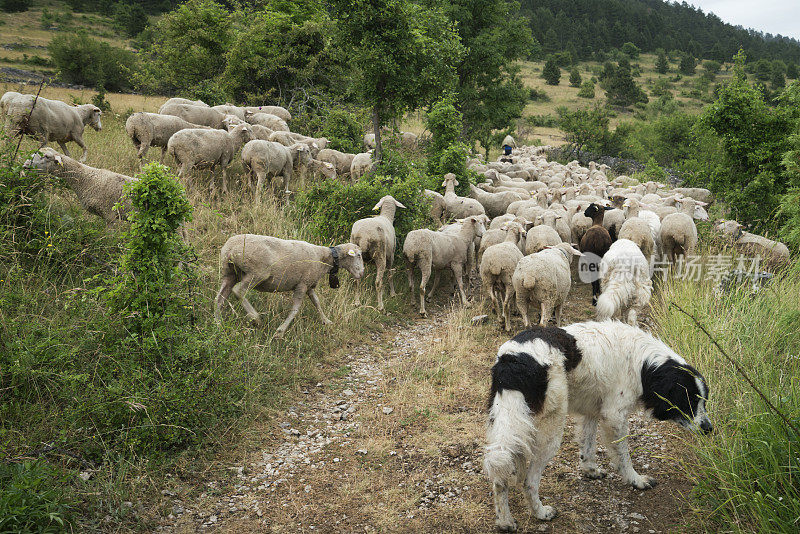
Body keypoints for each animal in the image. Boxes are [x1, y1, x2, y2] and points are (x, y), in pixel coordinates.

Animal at [212, 236, 362, 340]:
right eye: (359, 255)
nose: (361, 273)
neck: (325, 258)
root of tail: (230, 249)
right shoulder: (302, 285)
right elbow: (295, 309)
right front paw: (280, 331)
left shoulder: (308, 285)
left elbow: (317, 302)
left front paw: (326, 321)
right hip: (257, 272)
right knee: (238, 291)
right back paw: (255, 318)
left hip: (230, 273)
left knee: (219, 299)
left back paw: (219, 325)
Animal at [482, 320, 712, 532]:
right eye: (689, 400)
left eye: (704, 401)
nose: (709, 429)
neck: (643, 364)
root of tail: (513, 359)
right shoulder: (614, 417)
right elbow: (623, 456)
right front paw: (635, 480)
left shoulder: (592, 411)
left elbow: (588, 446)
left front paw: (590, 470)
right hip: (550, 429)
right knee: (529, 481)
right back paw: (541, 513)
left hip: (508, 421)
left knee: (500, 475)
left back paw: (505, 521)